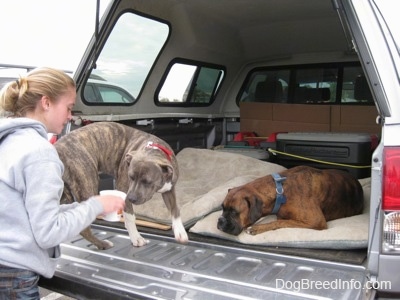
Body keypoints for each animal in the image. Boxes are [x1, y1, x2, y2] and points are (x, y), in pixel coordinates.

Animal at [54, 120, 189, 250]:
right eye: (131, 177)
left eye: (147, 182)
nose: (132, 198)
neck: (153, 150)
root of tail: (57, 149)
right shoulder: (124, 190)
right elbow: (130, 216)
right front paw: (136, 238)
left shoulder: (169, 190)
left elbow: (175, 210)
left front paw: (180, 232)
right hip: (87, 183)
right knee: (83, 227)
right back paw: (103, 244)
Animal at [217, 165, 364, 236]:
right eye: (222, 208)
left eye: (234, 212)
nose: (220, 221)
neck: (280, 189)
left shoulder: (316, 222)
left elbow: (281, 222)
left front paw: (257, 228)